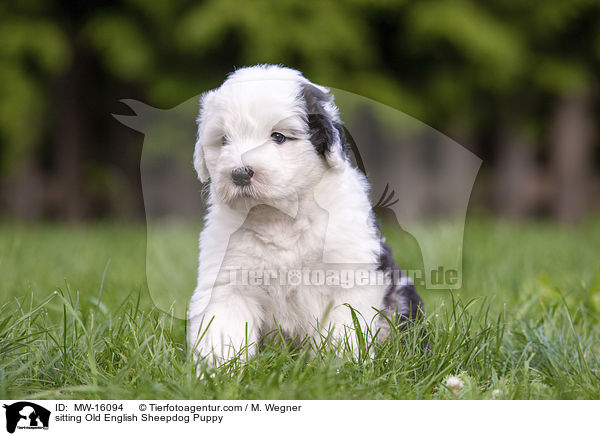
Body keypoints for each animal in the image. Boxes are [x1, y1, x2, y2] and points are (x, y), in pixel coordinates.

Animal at [188, 64, 422, 364]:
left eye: (278, 136)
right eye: (224, 140)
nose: (239, 173)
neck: (280, 217)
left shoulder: (349, 278)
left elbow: (343, 331)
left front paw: (339, 368)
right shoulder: (228, 281)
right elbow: (223, 331)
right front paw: (218, 371)